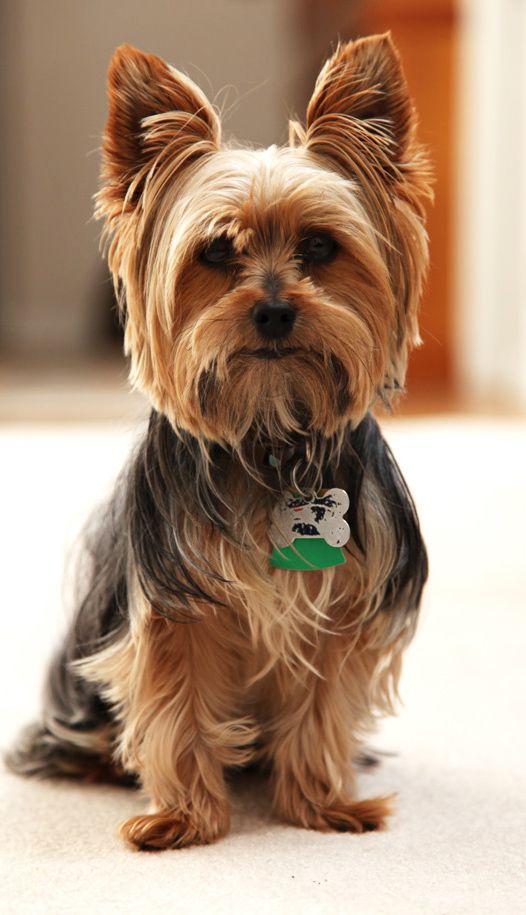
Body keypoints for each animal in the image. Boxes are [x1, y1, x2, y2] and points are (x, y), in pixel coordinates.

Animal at [8, 34, 434, 852]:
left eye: (320, 246)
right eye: (214, 252)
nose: (272, 310)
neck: (269, 430)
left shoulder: (347, 598)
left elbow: (322, 704)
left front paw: (319, 805)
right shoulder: (177, 605)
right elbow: (174, 706)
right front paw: (185, 818)